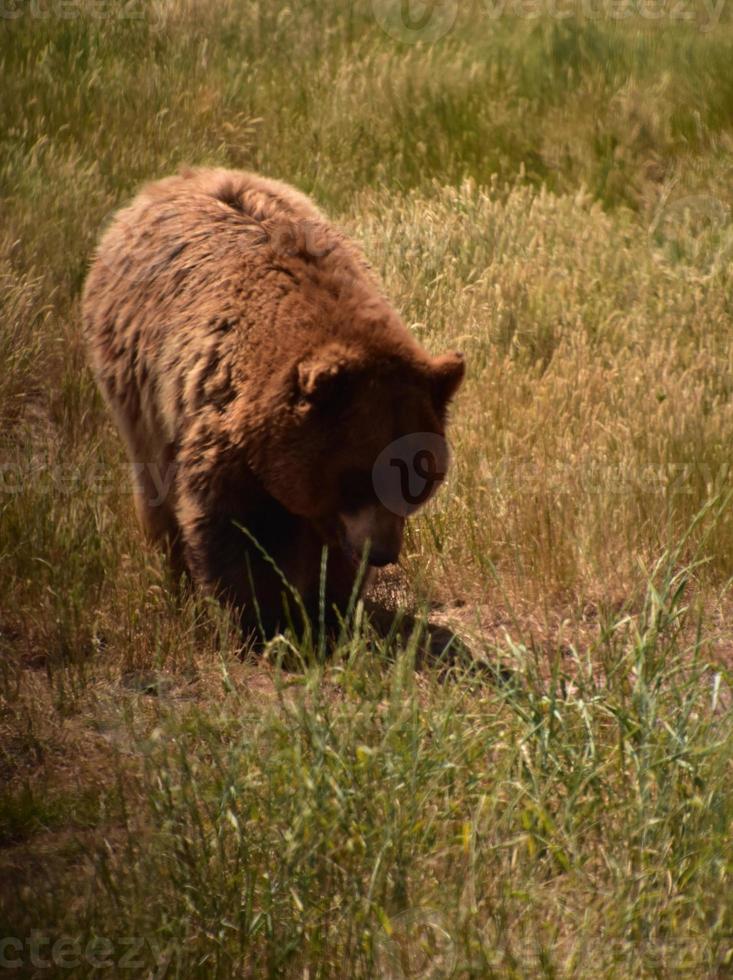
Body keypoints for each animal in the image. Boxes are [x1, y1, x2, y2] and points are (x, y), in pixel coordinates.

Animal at [84, 170, 464, 636]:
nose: (382, 553)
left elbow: (328, 551)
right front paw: (259, 619)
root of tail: (175, 178)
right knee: (156, 487)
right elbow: (234, 527)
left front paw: (328, 610)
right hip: (135, 390)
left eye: (418, 476)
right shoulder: (224, 424)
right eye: (356, 474)